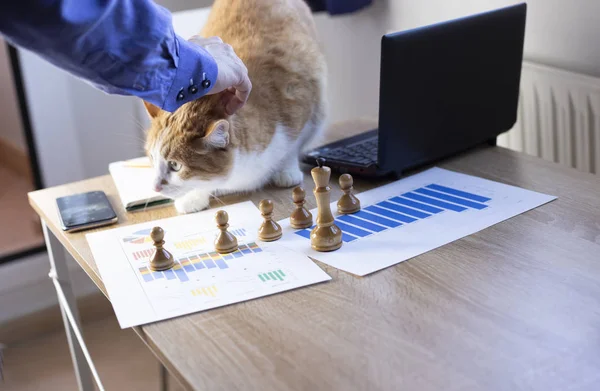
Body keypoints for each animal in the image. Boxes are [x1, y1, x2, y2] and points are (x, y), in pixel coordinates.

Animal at [143, 0, 326, 214]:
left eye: (175, 165)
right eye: (152, 157)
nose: (154, 187)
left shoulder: (302, 101)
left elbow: (293, 146)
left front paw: (287, 169)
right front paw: (194, 196)